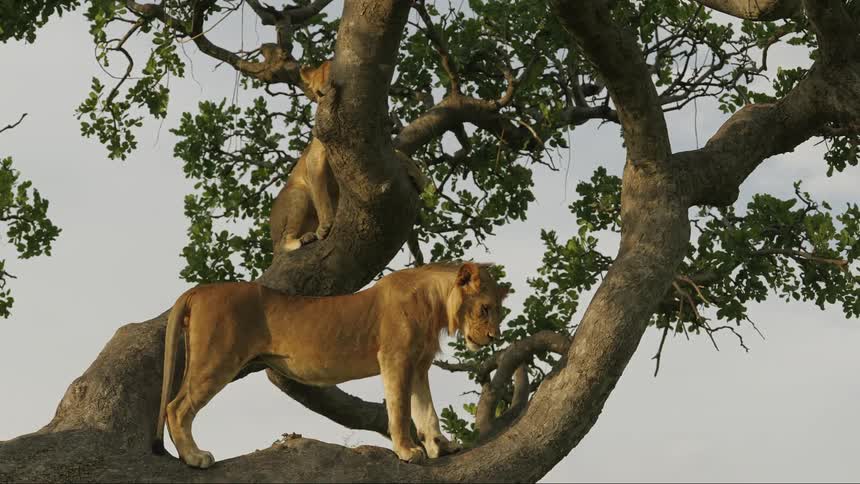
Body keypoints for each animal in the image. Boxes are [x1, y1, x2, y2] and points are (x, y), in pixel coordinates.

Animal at [153, 262, 508, 468]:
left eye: (498, 309)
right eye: (485, 308)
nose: (494, 337)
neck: (436, 304)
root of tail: (200, 289)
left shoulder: (419, 365)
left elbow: (426, 411)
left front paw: (441, 446)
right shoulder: (395, 358)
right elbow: (400, 410)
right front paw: (407, 451)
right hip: (217, 358)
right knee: (176, 407)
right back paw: (194, 457)